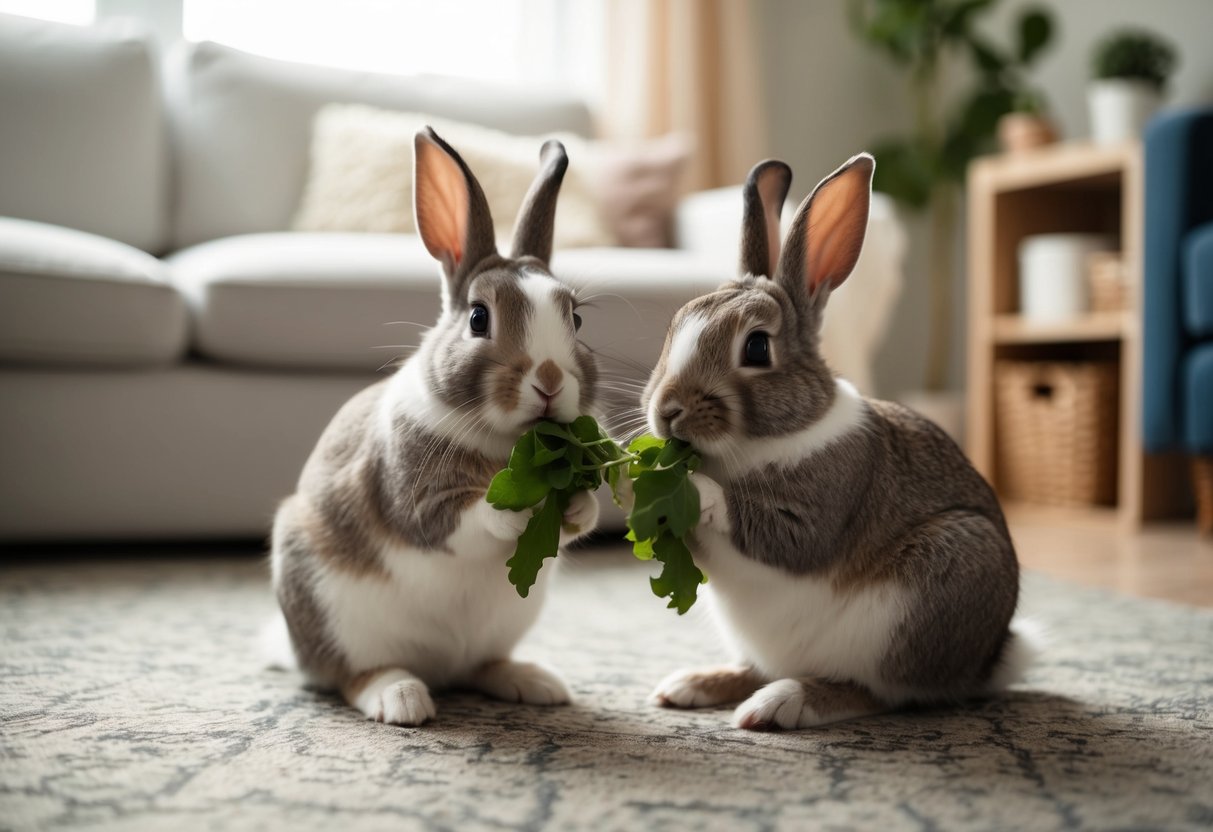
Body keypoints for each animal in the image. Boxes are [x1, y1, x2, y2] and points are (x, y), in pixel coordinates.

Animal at [269, 128, 601, 726]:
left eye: (577, 318)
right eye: (478, 318)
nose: (549, 379)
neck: (507, 444)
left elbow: (575, 521)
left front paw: (581, 507)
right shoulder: (419, 498)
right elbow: (466, 519)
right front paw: (517, 514)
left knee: (480, 668)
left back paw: (537, 683)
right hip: (333, 614)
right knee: (350, 676)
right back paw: (400, 699)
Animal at [642, 154, 1033, 730]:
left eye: (756, 348)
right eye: (674, 325)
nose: (667, 411)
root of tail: (986, 661)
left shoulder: (818, 509)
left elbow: (773, 529)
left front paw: (694, 488)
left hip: (923, 597)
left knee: (880, 693)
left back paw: (779, 705)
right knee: (757, 668)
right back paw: (690, 686)